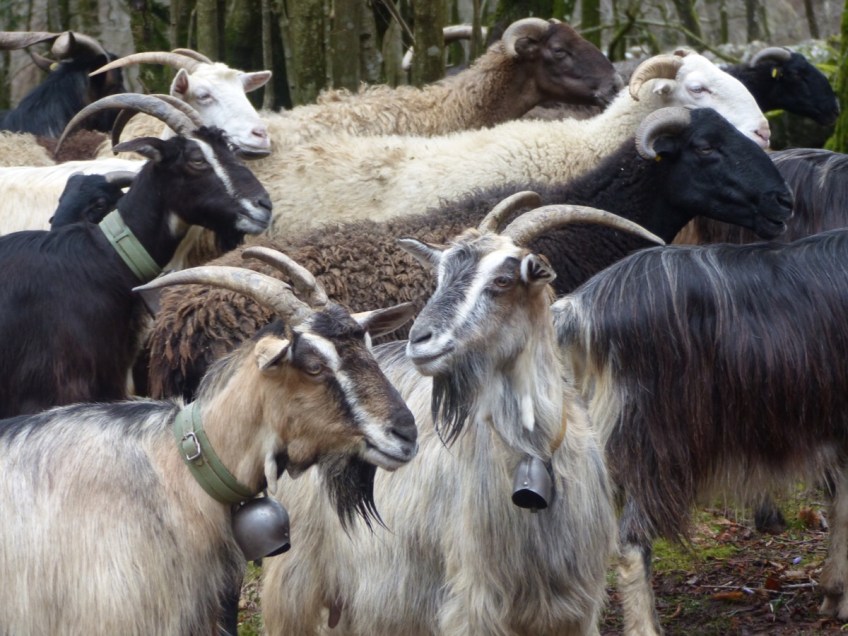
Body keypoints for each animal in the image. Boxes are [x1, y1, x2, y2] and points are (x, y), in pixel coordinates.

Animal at [260, 204, 636, 635]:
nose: (420, 339)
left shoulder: (575, 605)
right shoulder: (474, 603)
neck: (533, 453)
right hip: (297, 578)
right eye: (439, 278)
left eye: (503, 280)